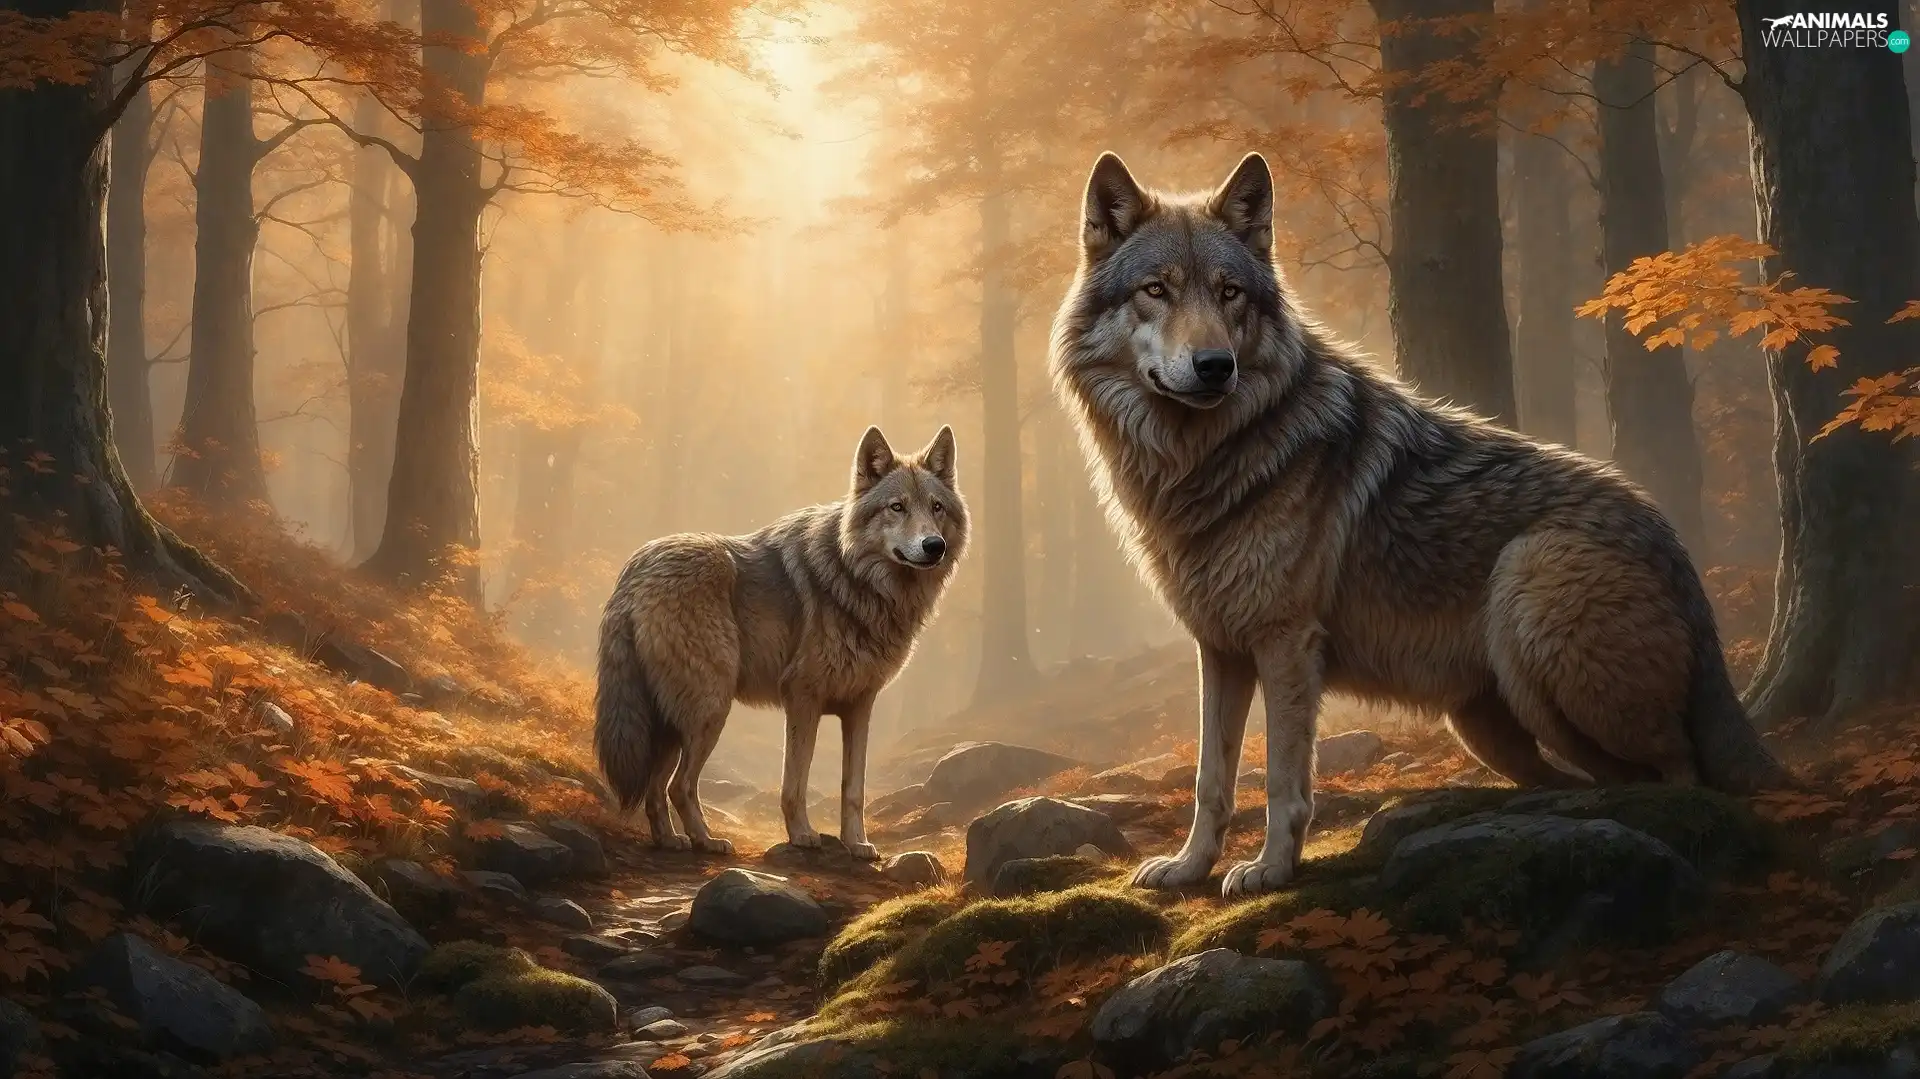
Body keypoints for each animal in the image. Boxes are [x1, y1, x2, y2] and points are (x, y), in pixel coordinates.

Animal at [594, 426, 969, 859]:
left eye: (937, 507)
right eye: (897, 507)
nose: (934, 546)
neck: (858, 579)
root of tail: (631, 572)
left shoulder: (860, 705)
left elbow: (853, 788)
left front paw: (857, 844)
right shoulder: (802, 698)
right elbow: (796, 781)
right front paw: (802, 835)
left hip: (674, 718)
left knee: (657, 790)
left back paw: (672, 841)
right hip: (709, 709)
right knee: (680, 786)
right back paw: (707, 841)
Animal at [1048, 151, 1793, 899]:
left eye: (1229, 293)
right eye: (1156, 290)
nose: (1213, 366)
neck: (1203, 461)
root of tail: (1671, 541)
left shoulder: (1286, 643)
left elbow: (1285, 779)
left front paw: (1271, 870)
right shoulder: (1221, 649)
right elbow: (1212, 777)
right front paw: (1190, 867)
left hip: (1530, 594)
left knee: (1680, 769)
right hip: (1484, 724)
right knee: (1586, 774)